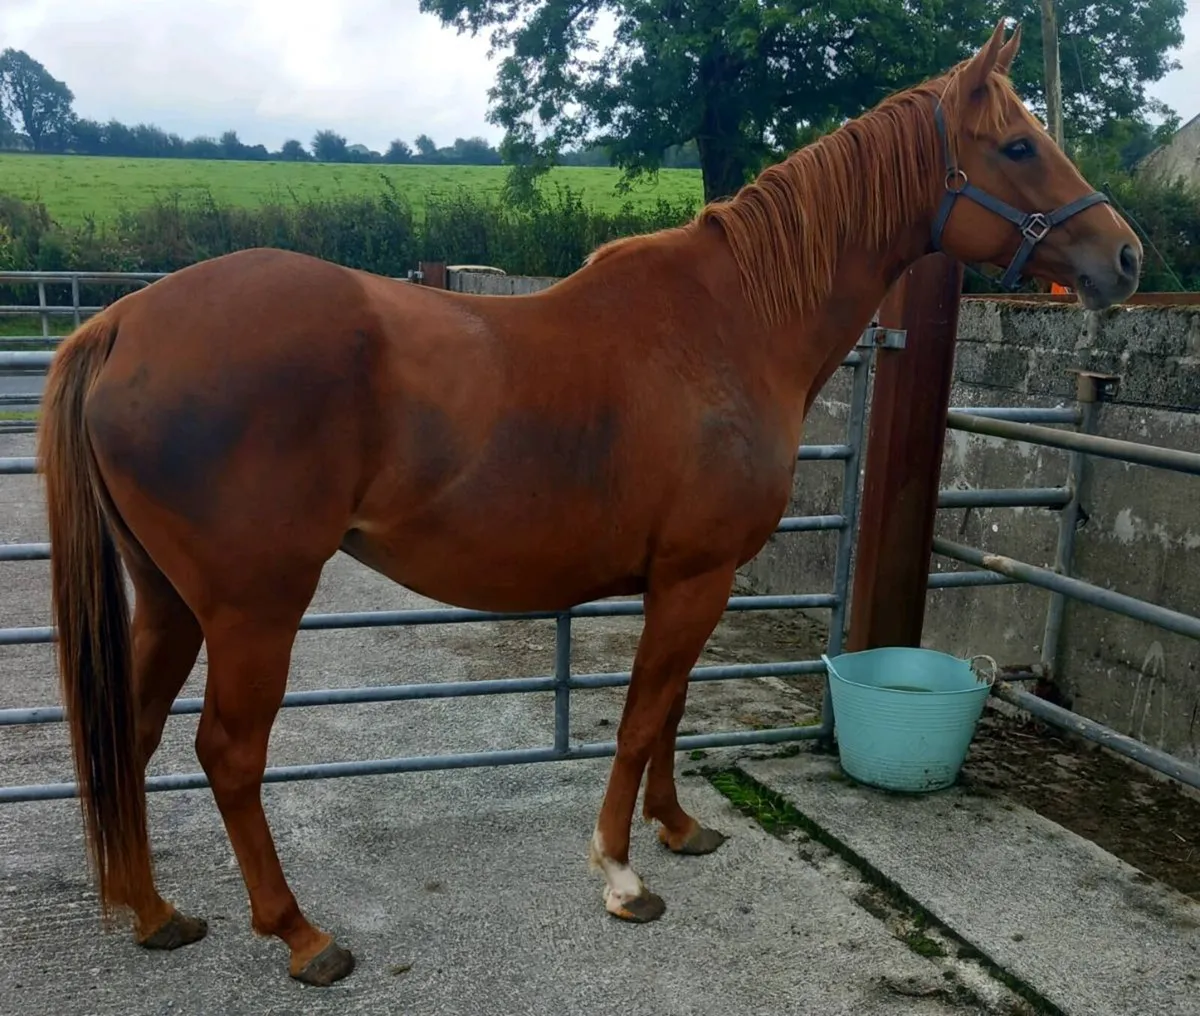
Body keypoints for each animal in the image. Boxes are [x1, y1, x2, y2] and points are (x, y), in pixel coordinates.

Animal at [36, 19, 1140, 987]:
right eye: (1018, 144)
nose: (1125, 257)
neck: (732, 323)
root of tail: (123, 321)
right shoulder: (693, 576)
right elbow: (641, 714)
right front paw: (621, 872)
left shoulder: (694, 579)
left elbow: (672, 708)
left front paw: (680, 829)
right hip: (253, 608)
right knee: (226, 754)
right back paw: (301, 935)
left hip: (168, 602)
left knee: (131, 735)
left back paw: (155, 913)